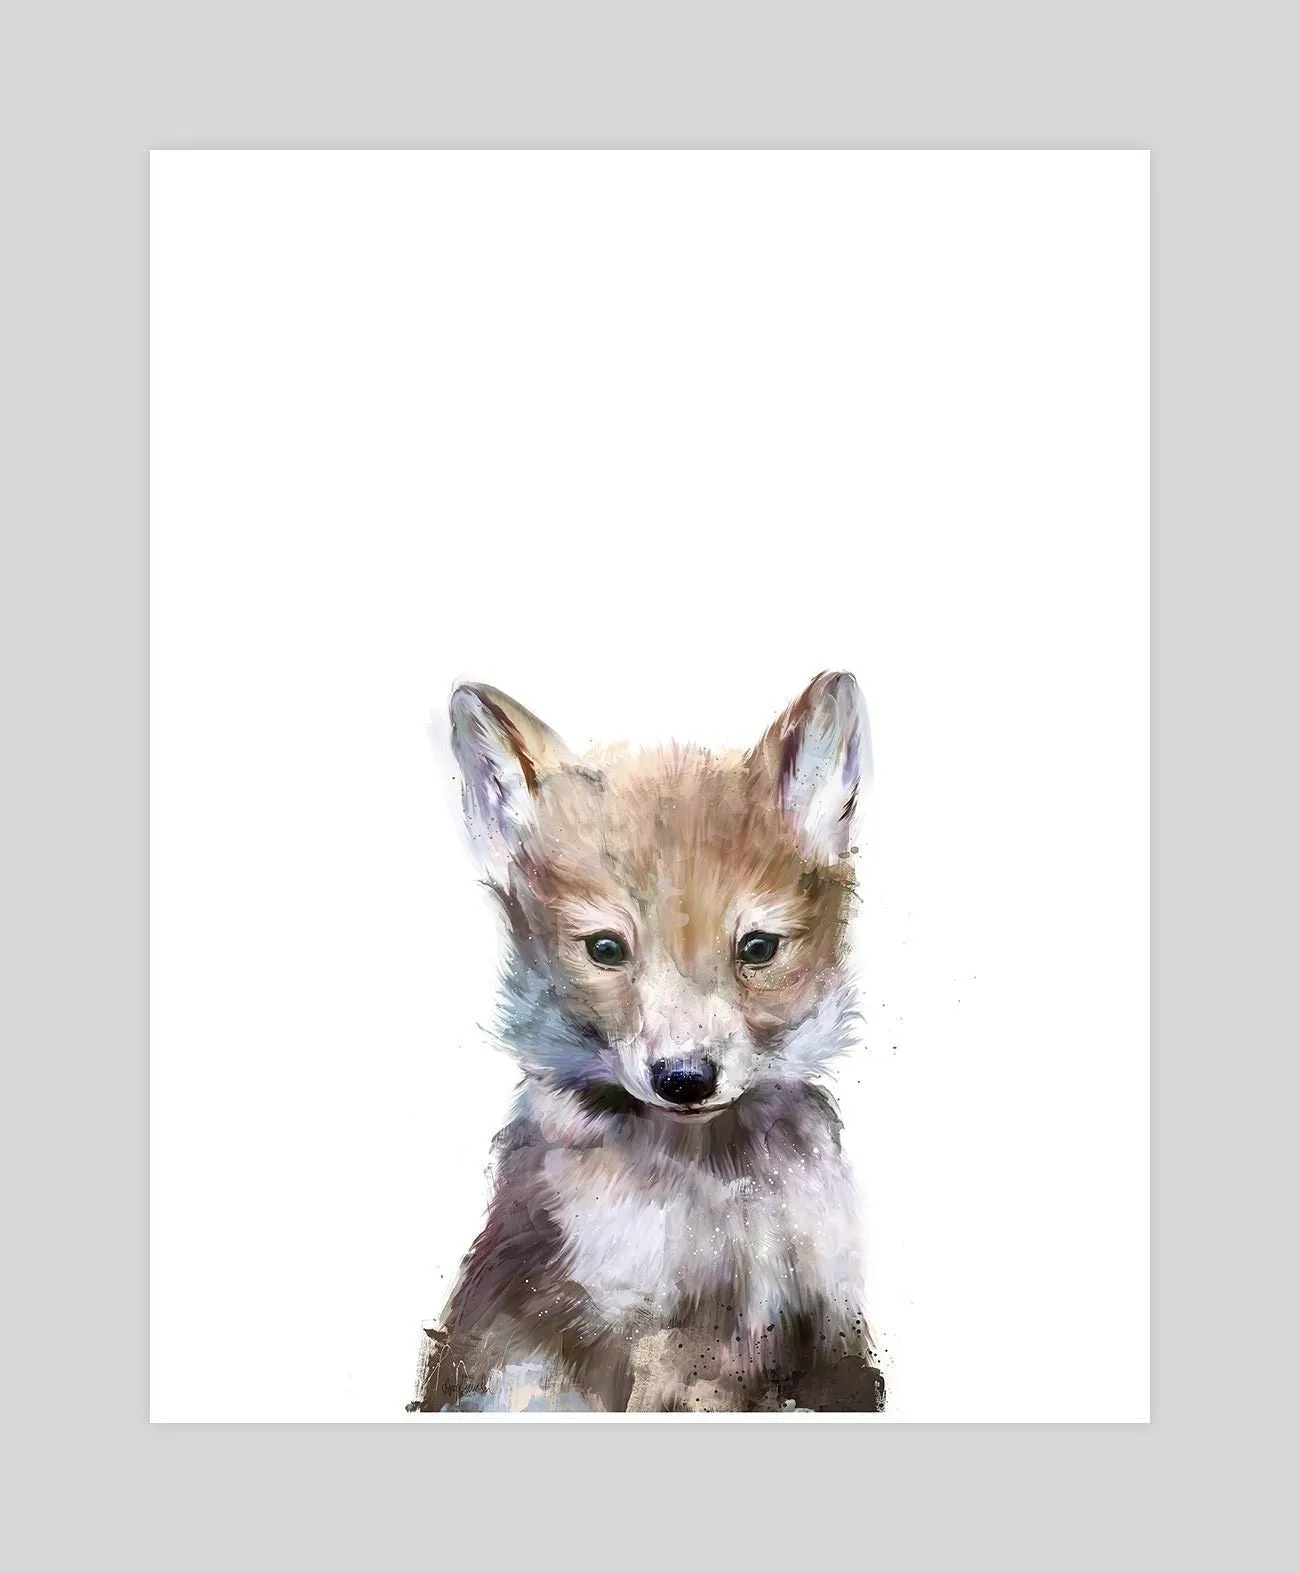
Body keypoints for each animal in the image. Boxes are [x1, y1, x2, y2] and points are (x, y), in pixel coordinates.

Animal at [410, 672, 884, 1413]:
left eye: (757, 948)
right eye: (606, 949)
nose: (684, 1079)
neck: (714, 1188)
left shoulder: (827, 1325)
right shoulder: (630, 1333)